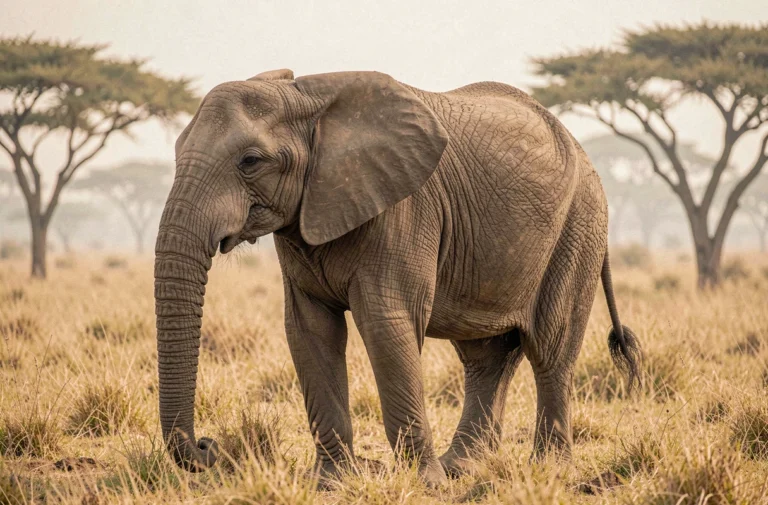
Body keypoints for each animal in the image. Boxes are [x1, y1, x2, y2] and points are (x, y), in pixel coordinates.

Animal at [154, 68, 641, 487]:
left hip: (578, 226)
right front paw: (332, 482)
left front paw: (425, 483)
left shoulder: (404, 210)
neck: (309, 99)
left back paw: (547, 471)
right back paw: (461, 468)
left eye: (251, 161)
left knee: (550, 348)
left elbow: (386, 325)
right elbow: (310, 331)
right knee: (486, 356)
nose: (208, 446)